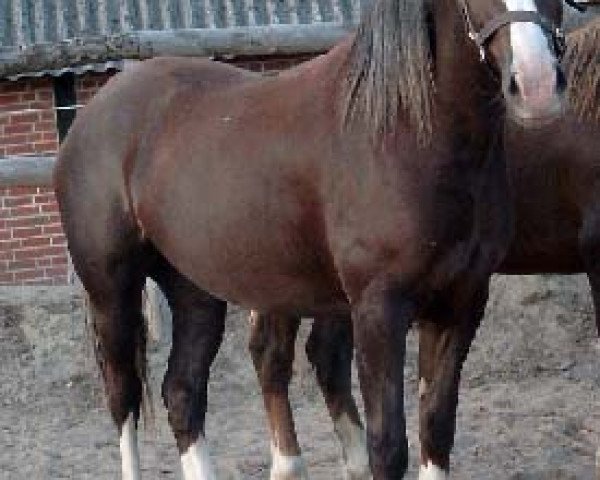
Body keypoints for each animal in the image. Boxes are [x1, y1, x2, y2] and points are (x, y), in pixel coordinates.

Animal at [54, 0, 564, 478]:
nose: (537, 85)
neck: (403, 128)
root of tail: (94, 113)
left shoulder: (462, 303)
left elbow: (436, 431)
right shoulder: (378, 310)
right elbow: (387, 446)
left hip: (195, 289)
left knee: (182, 392)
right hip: (111, 291)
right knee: (123, 399)